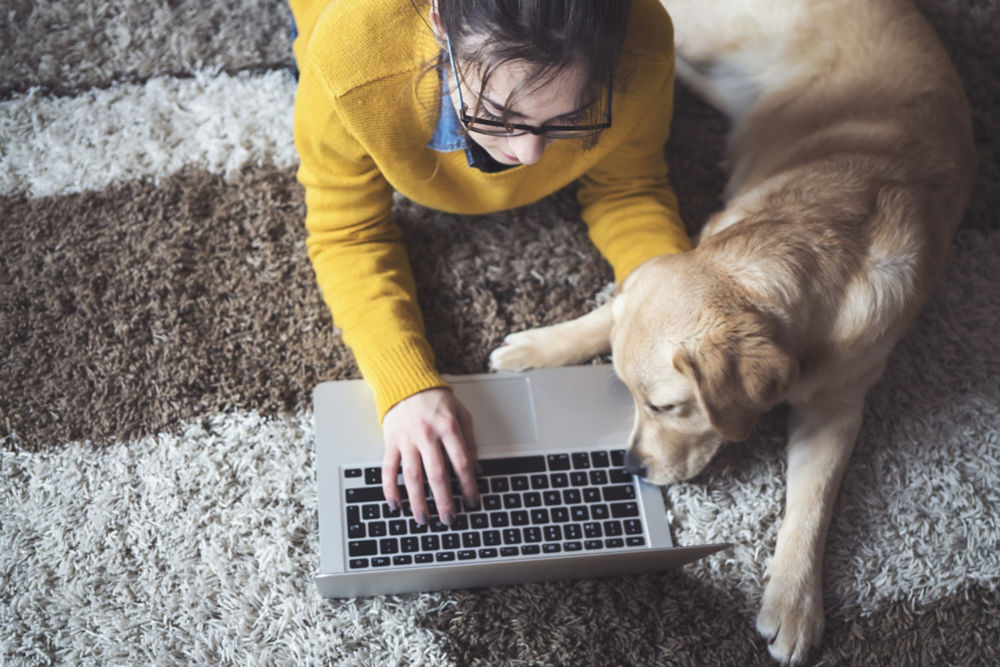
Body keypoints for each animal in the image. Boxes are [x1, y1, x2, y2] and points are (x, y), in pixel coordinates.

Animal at [492, 0, 976, 664]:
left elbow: (812, 504)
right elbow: (608, 309)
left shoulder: (838, 407)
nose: (630, 468)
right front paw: (540, 347)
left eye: (667, 407)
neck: (803, 248)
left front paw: (794, 603)